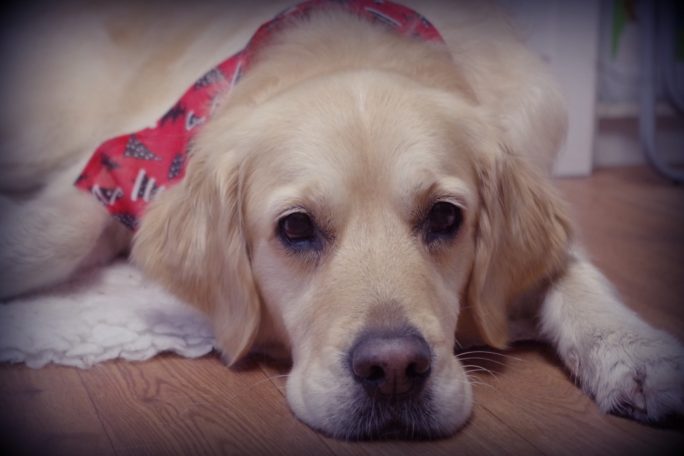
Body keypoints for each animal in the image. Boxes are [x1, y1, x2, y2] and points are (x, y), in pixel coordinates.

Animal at [1, 0, 682, 440]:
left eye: (444, 216)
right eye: (296, 228)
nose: (395, 372)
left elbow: (573, 273)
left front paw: (639, 353)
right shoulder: (113, 165)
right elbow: (60, 232)